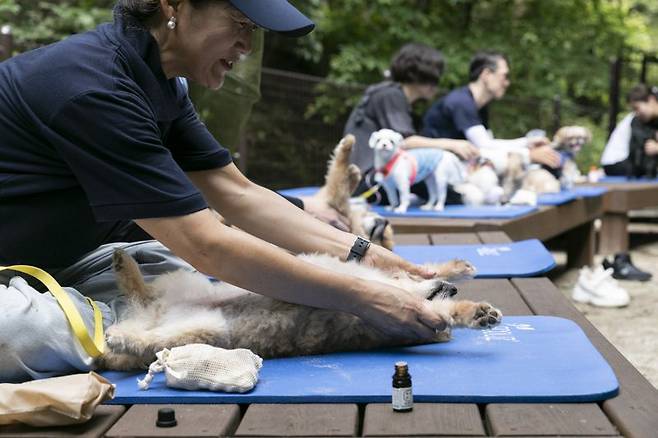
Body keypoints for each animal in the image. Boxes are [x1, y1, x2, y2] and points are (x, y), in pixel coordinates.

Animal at [96, 250, 498, 370]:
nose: (453, 289)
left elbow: (447, 316)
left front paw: (475, 313)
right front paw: (455, 270)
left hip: (202, 328)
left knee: (145, 334)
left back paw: (118, 335)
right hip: (183, 284)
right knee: (141, 295)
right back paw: (124, 265)